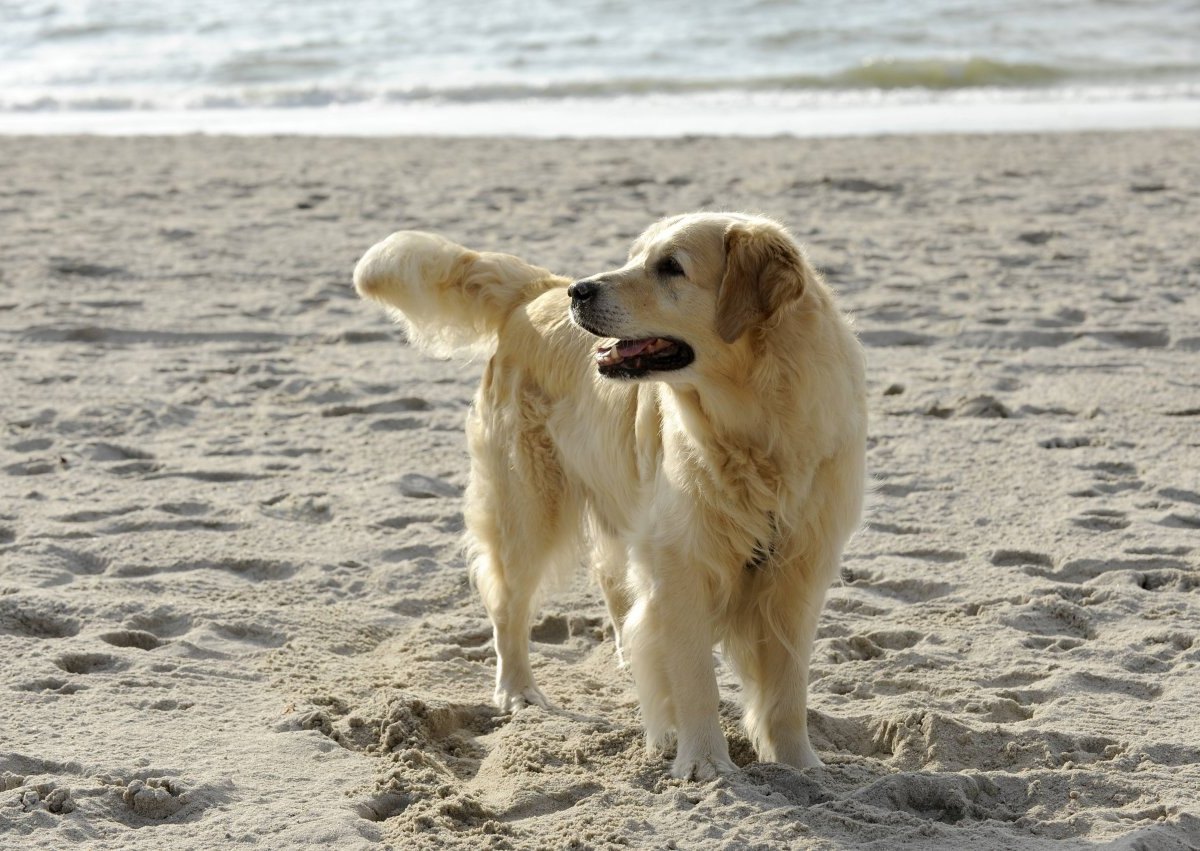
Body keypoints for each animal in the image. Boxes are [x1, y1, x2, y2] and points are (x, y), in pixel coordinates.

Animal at [350, 212, 868, 777]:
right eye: (634, 256)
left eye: (671, 267)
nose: (580, 290)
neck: (756, 427)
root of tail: (537, 289)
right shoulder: (682, 561)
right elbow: (696, 678)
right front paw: (705, 764)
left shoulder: (799, 569)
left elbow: (786, 689)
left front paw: (801, 766)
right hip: (527, 507)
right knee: (508, 604)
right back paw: (518, 691)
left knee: (609, 576)